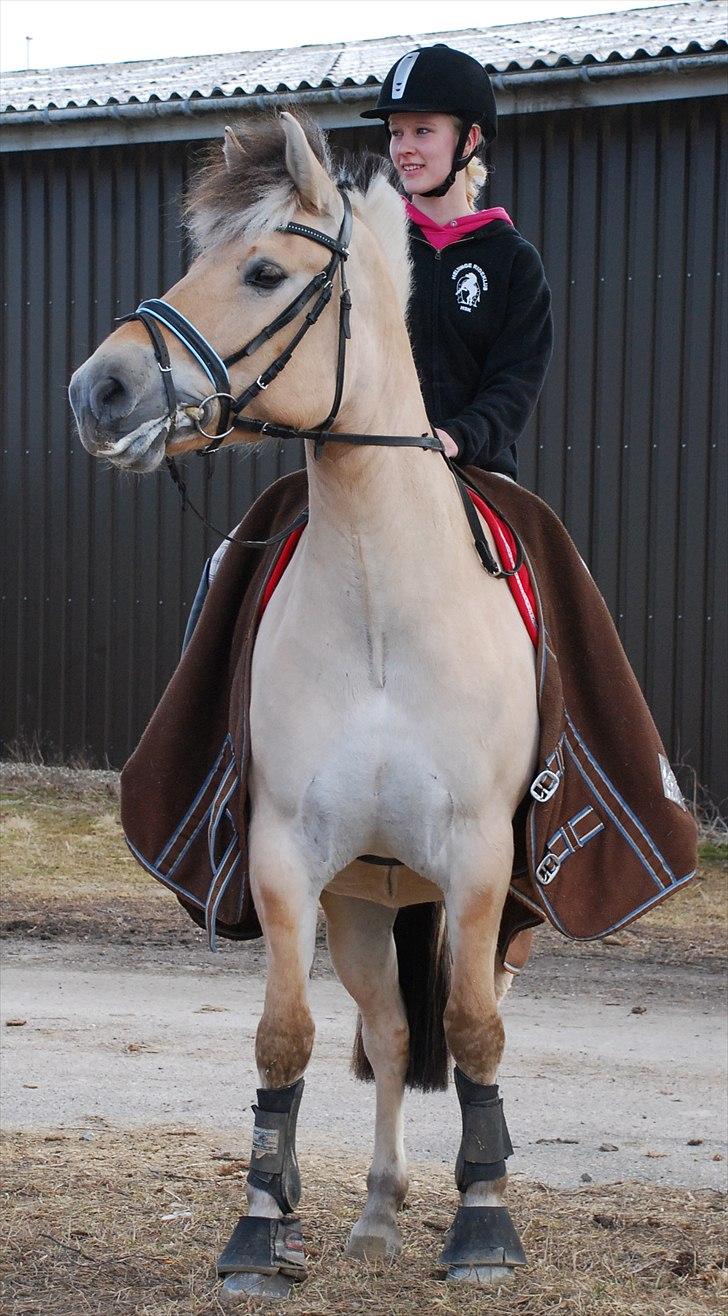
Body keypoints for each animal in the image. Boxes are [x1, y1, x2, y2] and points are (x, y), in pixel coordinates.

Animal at [69, 111, 540, 1296]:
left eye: (264, 272)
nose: (98, 391)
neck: (380, 607)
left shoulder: (480, 857)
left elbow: (472, 1029)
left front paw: (483, 1225)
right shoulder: (288, 854)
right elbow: (285, 1034)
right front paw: (255, 1226)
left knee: (476, 1015)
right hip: (368, 894)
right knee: (387, 1025)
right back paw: (373, 1207)